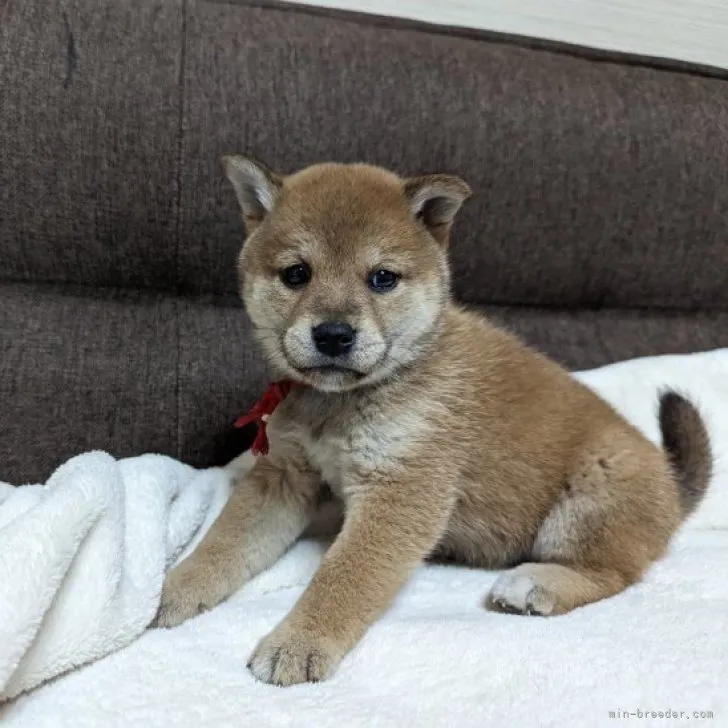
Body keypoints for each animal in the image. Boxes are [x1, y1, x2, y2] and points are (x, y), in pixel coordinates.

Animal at [155, 156, 712, 684]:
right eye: (296, 274)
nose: (333, 334)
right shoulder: (285, 477)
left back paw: (536, 583)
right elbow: (222, 546)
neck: (346, 402)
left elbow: (343, 579)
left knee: (615, 574)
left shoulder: (401, 492)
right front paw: (169, 592)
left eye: (382, 277)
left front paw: (299, 642)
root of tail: (672, 486)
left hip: (591, 496)